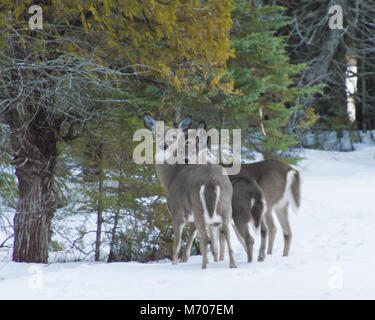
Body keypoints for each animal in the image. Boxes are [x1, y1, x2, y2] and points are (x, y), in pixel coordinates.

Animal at [144, 114, 238, 268]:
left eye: (174, 136)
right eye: (156, 133)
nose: (164, 145)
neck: (171, 177)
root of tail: (211, 181)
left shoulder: (177, 211)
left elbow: (177, 243)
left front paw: (174, 264)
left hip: (198, 208)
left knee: (205, 239)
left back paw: (204, 267)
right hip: (224, 208)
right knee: (225, 236)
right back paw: (232, 265)